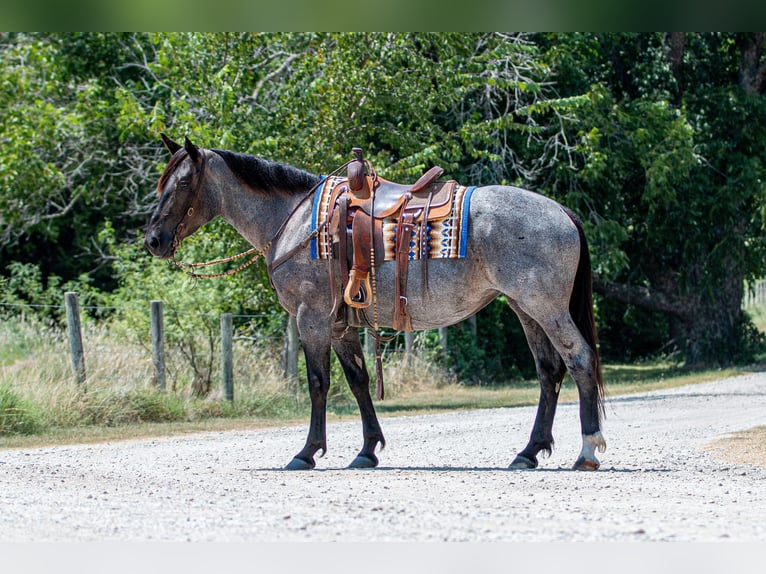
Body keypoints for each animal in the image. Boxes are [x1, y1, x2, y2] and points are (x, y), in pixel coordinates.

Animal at [147, 135, 608, 472]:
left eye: (183, 184)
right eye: (161, 184)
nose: (153, 239)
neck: (295, 220)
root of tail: (562, 212)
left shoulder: (311, 318)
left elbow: (318, 383)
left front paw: (306, 452)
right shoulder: (340, 324)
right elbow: (358, 381)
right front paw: (367, 450)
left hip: (545, 307)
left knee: (579, 360)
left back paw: (587, 450)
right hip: (524, 308)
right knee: (549, 371)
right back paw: (528, 453)